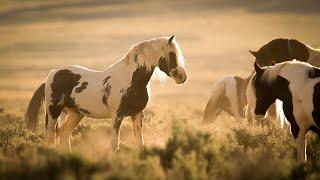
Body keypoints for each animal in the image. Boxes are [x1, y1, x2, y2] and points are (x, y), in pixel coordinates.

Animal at [26, 36, 190, 152]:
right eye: (172, 54)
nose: (183, 77)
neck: (129, 79)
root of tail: (52, 74)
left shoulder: (137, 114)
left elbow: (140, 143)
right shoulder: (117, 116)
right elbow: (114, 144)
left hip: (75, 113)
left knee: (63, 134)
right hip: (53, 111)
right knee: (49, 137)